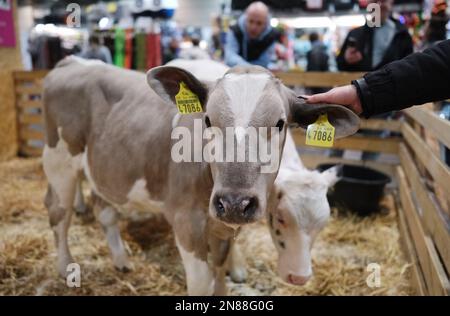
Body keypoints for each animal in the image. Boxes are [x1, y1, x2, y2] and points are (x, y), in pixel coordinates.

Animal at [42, 55, 358, 296]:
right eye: (207, 119)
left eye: (280, 123)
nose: (234, 203)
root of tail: (73, 62)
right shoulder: (186, 222)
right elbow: (202, 282)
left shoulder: (221, 227)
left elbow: (219, 268)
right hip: (59, 162)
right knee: (59, 214)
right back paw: (65, 266)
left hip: (103, 169)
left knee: (105, 211)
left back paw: (120, 260)